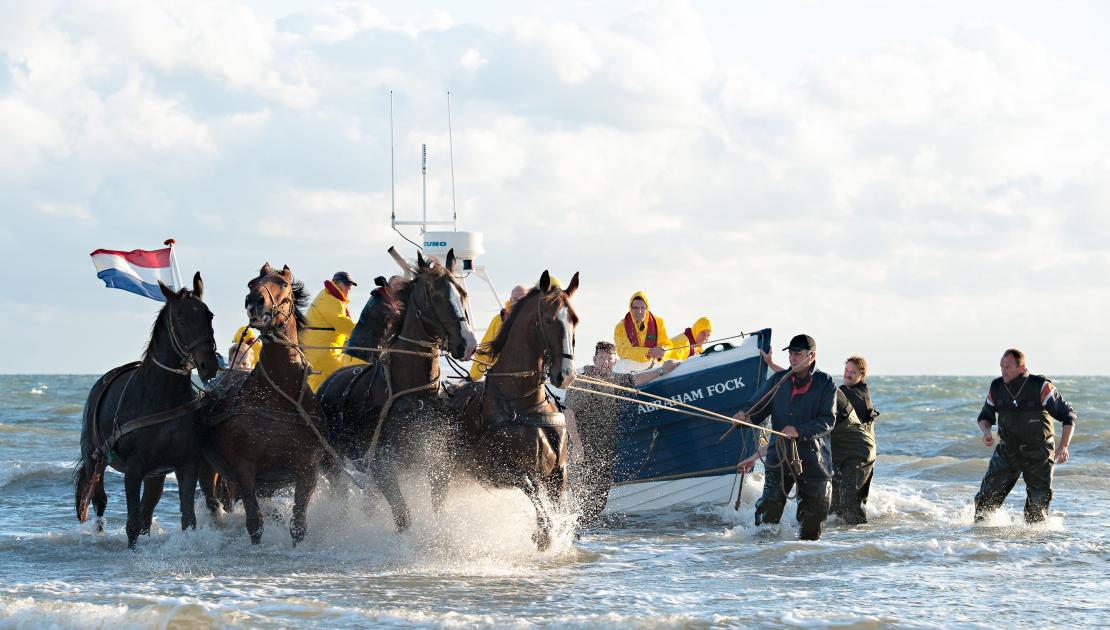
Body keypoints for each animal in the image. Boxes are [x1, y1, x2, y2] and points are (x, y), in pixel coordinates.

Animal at [73, 272, 218, 547]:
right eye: (181, 319)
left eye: (209, 315)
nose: (209, 365)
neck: (161, 395)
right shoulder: (134, 469)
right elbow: (131, 523)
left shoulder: (186, 464)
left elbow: (187, 518)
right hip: (94, 457)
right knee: (99, 499)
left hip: (156, 474)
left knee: (147, 511)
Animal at [203, 262, 324, 543]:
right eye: (251, 283)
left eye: (283, 283)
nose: (254, 302)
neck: (278, 397)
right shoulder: (244, 469)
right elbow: (255, 523)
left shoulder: (308, 469)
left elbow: (298, 524)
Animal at [319, 249, 479, 532]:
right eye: (435, 294)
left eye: (462, 292)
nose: (468, 343)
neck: (413, 395)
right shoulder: (382, 467)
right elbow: (403, 517)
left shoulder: (437, 464)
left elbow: (438, 508)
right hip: (332, 462)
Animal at [448, 270, 581, 550]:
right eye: (550, 320)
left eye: (575, 319)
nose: (565, 374)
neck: (526, 404)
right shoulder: (499, 472)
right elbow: (533, 492)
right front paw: (542, 534)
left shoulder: (559, 472)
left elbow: (558, 508)